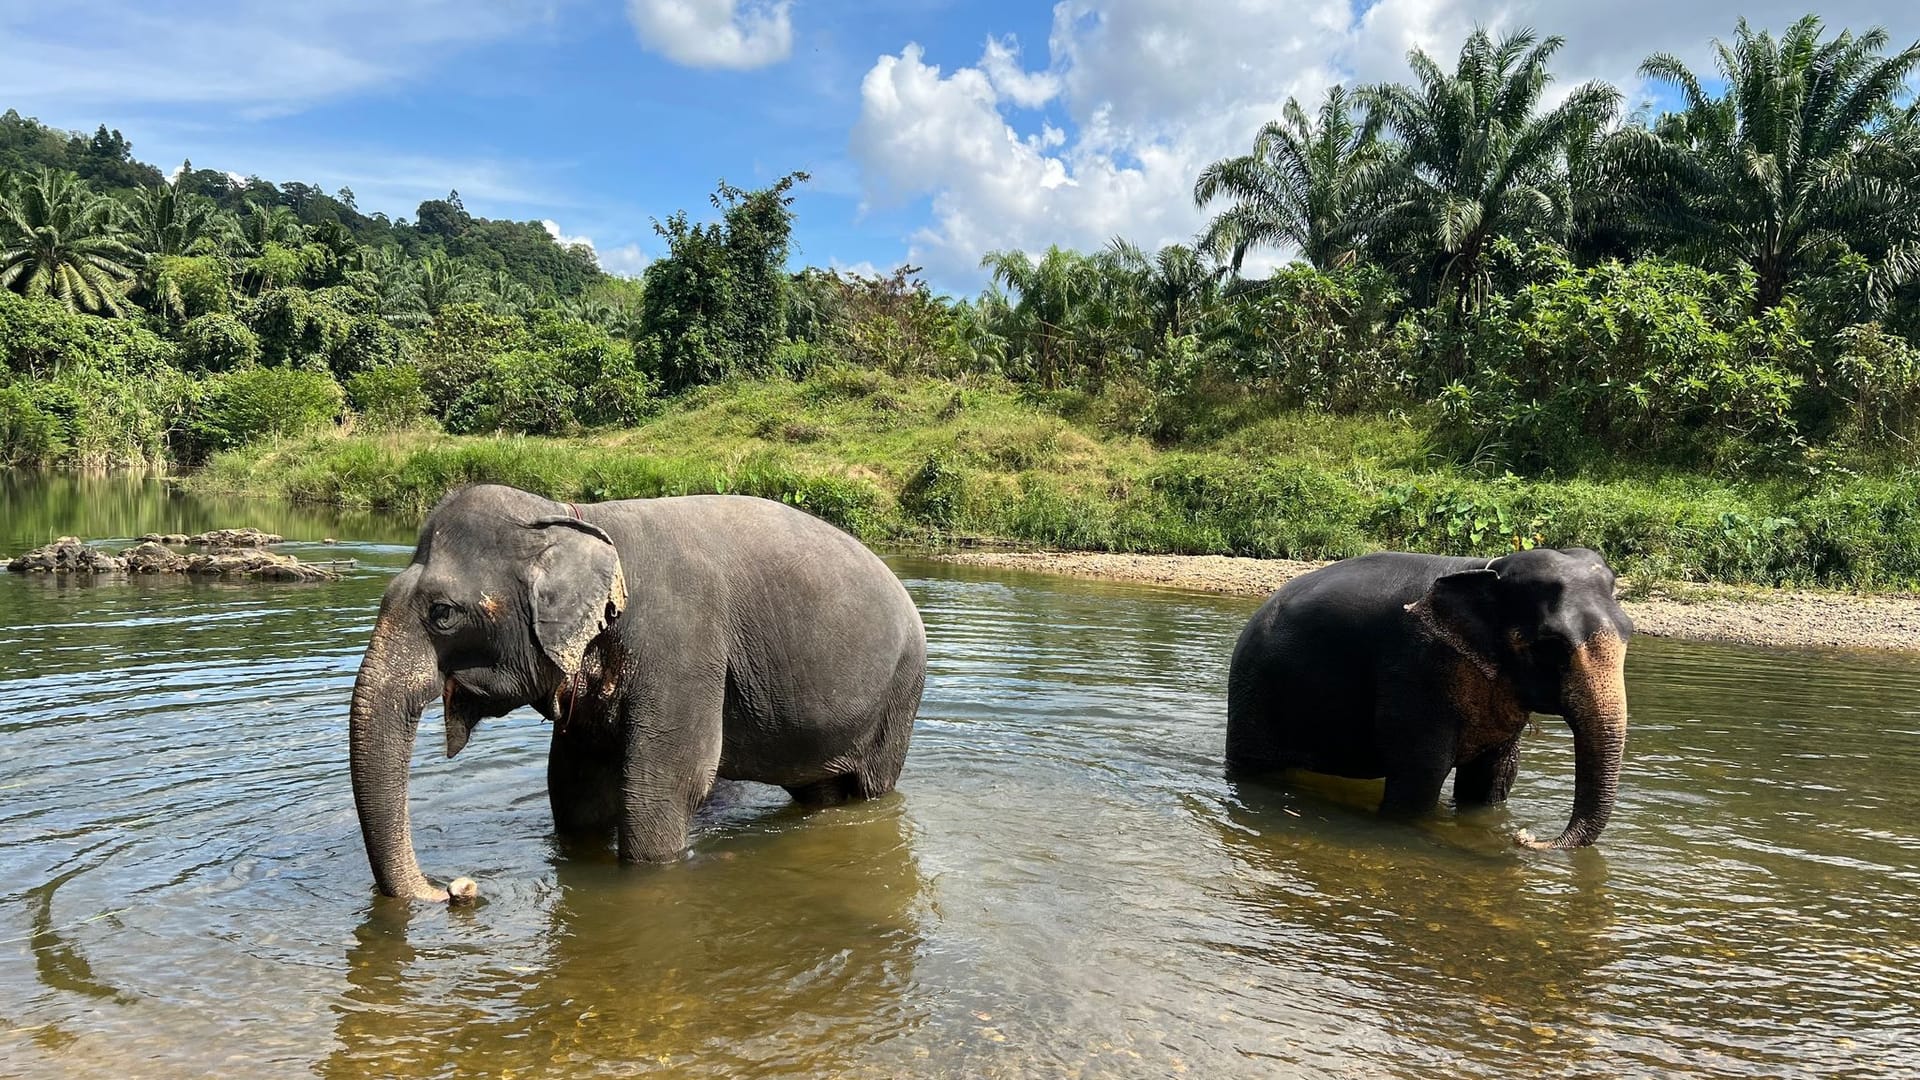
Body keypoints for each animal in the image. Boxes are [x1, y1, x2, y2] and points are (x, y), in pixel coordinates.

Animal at [349, 484, 925, 895]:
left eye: (442, 614)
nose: (455, 889)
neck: (575, 519)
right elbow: (573, 787)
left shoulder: (682, 647)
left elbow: (664, 788)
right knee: (819, 793)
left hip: (898, 696)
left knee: (870, 789)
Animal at [1221, 545, 1628, 841]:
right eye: (1550, 646)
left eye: (1629, 630)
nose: (1525, 838)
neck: (1485, 569)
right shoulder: (1416, 669)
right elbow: (1422, 772)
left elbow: (1494, 776)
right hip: (1254, 692)